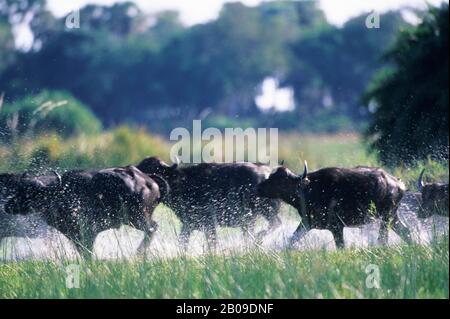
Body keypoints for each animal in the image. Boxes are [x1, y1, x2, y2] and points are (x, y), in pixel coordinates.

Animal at [5, 166, 168, 256]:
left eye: (32, 192)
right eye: (19, 188)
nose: (7, 205)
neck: (61, 193)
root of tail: (148, 180)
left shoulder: (87, 232)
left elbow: (87, 253)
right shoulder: (75, 236)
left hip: (138, 218)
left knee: (152, 228)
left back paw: (138, 252)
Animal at [136, 158, 282, 250]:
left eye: (153, 169)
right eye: (140, 166)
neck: (185, 183)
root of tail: (268, 172)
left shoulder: (210, 224)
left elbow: (212, 244)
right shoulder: (188, 224)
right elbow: (182, 242)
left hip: (266, 210)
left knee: (276, 223)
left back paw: (258, 237)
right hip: (250, 220)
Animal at [256, 164, 412, 249]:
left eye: (280, 180)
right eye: (271, 175)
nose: (259, 187)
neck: (310, 190)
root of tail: (399, 184)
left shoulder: (337, 227)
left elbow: (341, 247)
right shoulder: (306, 223)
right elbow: (290, 240)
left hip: (386, 218)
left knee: (383, 239)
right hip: (393, 217)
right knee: (406, 231)